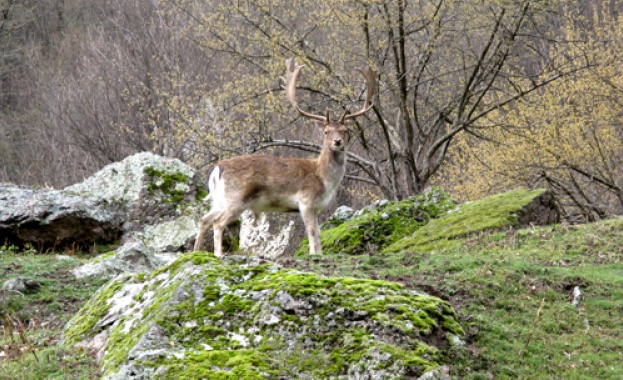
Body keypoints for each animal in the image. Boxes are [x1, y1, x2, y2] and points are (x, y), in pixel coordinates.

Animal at [193, 58, 376, 256]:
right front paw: (313, 254)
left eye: (345, 130)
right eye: (326, 131)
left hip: (219, 199)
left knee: (204, 219)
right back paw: (219, 254)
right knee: (218, 222)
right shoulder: (305, 200)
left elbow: (319, 232)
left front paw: (319, 253)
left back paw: (195, 252)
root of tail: (218, 169)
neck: (324, 179)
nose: (337, 141)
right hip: (237, 197)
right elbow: (311, 230)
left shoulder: (318, 207)